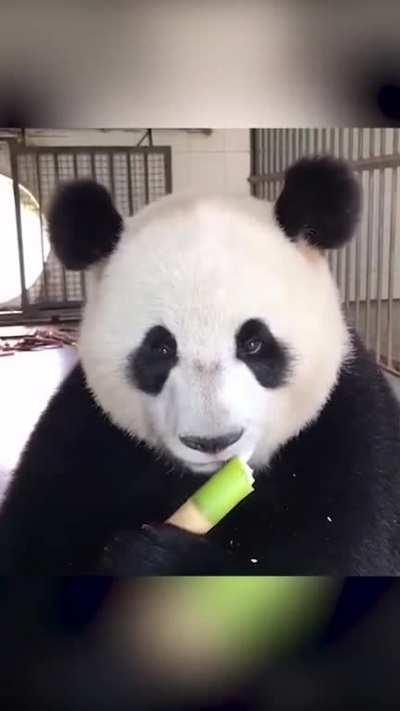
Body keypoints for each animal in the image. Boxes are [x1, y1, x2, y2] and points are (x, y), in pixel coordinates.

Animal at [0, 155, 399, 575]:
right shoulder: (85, 431)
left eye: (254, 343)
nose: (213, 442)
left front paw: (153, 558)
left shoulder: (351, 427)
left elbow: (346, 549)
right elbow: (31, 550)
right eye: (160, 348)